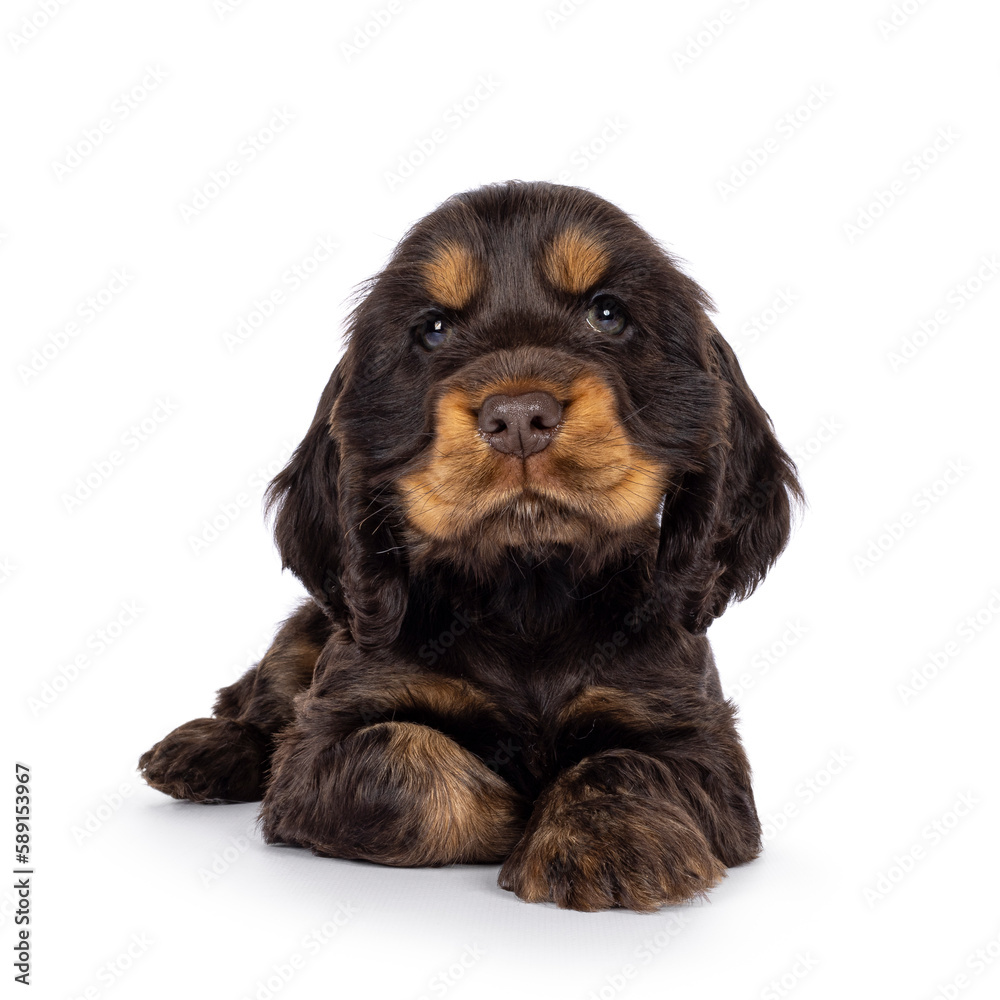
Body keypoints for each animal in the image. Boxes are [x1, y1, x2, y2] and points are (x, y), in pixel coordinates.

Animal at [137, 182, 800, 916]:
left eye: (608, 314)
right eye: (433, 329)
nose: (519, 418)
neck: (529, 586)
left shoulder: (697, 735)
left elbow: (626, 763)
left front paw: (606, 842)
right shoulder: (323, 741)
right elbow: (398, 754)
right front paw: (516, 811)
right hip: (307, 630)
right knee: (257, 697)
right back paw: (199, 750)